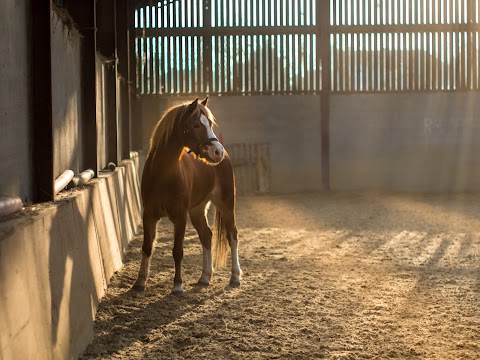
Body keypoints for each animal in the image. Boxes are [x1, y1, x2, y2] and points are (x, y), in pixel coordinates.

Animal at [132, 96, 240, 296]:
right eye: (196, 124)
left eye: (210, 123)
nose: (217, 151)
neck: (163, 173)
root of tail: (226, 157)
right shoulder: (149, 215)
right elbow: (147, 247)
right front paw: (140, 282)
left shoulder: (180, 216)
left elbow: (177, 250)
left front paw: (177, 286)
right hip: (197, 210)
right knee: (206, 235)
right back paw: (205, 277)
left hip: (227, 205)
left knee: (232, 235)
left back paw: (235, 277)